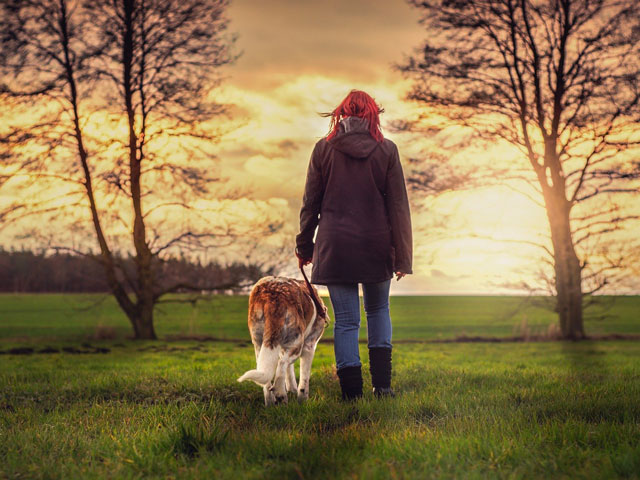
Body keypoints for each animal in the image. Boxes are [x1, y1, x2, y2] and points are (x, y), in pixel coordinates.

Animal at [238, 276, 328, 406]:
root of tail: (271, 296)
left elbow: (289, 372)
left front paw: (292, 389)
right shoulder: (309, 347)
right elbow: (304, 380)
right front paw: (303, 401)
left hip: (259, 344)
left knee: (267, 379)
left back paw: (270, 403)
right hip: (297, 343)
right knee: (281, 365)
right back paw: (281, 394)